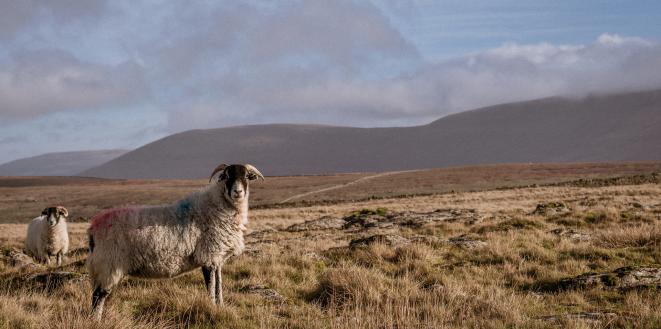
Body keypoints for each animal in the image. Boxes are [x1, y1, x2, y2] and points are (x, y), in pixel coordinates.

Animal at [87, 163, 262, 320]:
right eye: (226, 176)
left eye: (247, 176)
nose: (237, 192)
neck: (218, 207)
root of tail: (93, 228)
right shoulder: (208, 256)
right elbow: (211, 288)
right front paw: (212, 309)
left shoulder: (217, 259)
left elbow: (219, 287)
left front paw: (221, 307)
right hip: (109, 265)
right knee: (98, 296)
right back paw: (95, 320)